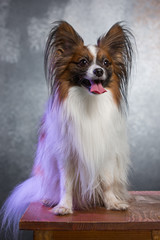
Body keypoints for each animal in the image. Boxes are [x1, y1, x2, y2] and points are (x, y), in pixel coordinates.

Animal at [0, 20, 134, 236]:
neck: (89, 103)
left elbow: (106, 182)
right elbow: (66, 184)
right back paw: (49, 198)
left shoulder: (106, 154)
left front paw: (112, 203)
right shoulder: (66, 155)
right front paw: (64, 206)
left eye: (106, 63)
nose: (98, 71)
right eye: (83, 62)